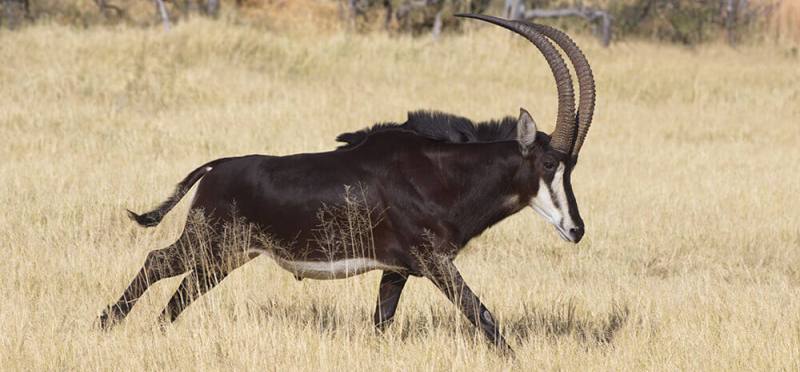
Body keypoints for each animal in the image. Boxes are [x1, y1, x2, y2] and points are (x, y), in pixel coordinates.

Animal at [98, 13, 592, 354]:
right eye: (549, 162)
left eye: (573, 166)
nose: (576, 230)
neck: (440, 174)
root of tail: (214, 168)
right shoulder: (433, 262)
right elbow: (482, 315)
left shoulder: (397, 270)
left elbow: (382, 321)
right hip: (206, 244)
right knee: (156, 262)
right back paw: (105, 323)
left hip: (224, 258)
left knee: (181, 293)